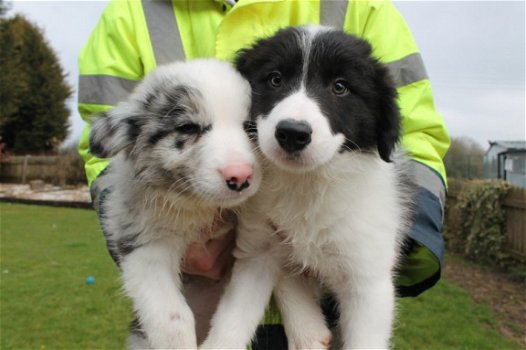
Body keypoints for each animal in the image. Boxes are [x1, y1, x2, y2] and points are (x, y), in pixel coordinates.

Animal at [91, 58, 266, 348]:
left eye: (249, 127)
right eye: (188, 128)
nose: (240, 176)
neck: (199, 206)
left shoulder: (258, 248)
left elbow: (238, 312)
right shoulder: (143, 245)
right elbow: (172, 318)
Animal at [203, 26, 416, 348]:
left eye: (340, 87)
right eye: (275, 79)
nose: (292, 133)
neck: (307, 184)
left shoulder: (368, 280)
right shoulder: (258, 252)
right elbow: (231, 321)